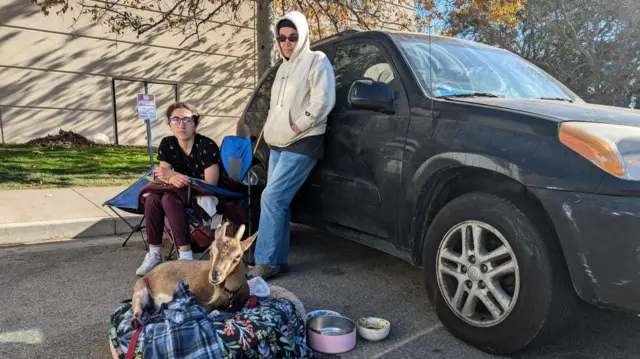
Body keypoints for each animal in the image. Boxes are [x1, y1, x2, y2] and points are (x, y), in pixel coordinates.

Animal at [130, 222, 258, 330]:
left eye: (238, 256)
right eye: (211, 251)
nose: (215, 275)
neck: (229, 292)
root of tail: (150, 274)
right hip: (140, 290)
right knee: (137, 308)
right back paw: (135, 321)